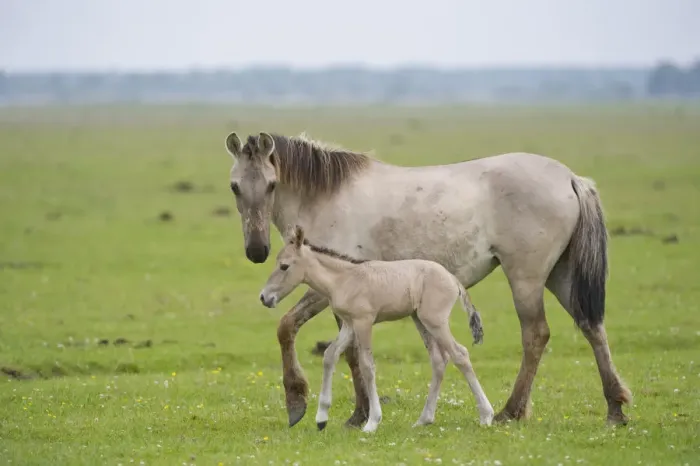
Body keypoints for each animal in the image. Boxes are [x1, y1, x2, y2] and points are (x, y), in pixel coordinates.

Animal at [259, 224, 494, 432]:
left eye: (284, 266)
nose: (264, 297)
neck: (344, 279)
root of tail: (452, 279)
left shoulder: (364, 322)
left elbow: (367, 365)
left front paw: (372, 422)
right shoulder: (349, 324)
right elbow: (329, 355)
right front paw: (321, 418)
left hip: (435, 321)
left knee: (460, 354)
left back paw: (486, 416)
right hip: (420, 320)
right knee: (438, 360)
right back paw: (424, 420)